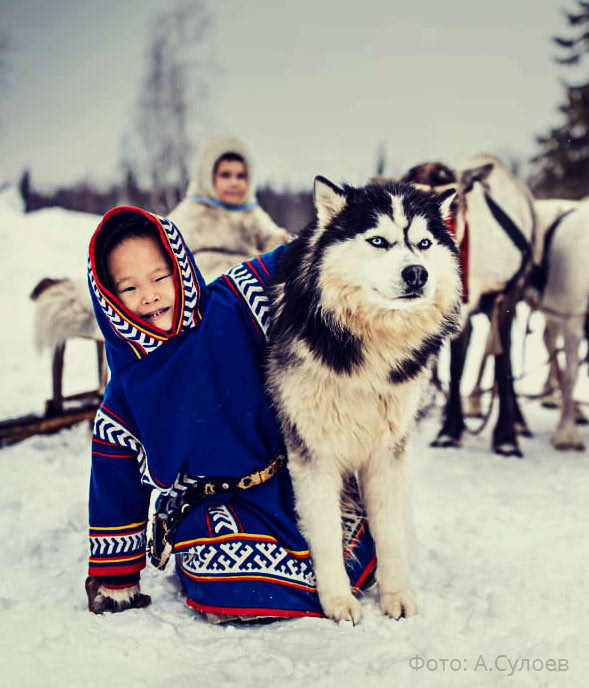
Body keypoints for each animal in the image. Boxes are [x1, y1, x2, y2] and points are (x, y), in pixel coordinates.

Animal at [266, 177, 464, 624]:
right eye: (378, 241)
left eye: (424, 243)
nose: (417, 273)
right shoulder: (313, 452)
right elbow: (325, 534)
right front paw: (338, 602)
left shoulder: (387, 450)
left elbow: (389, 530)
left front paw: (396, 595)